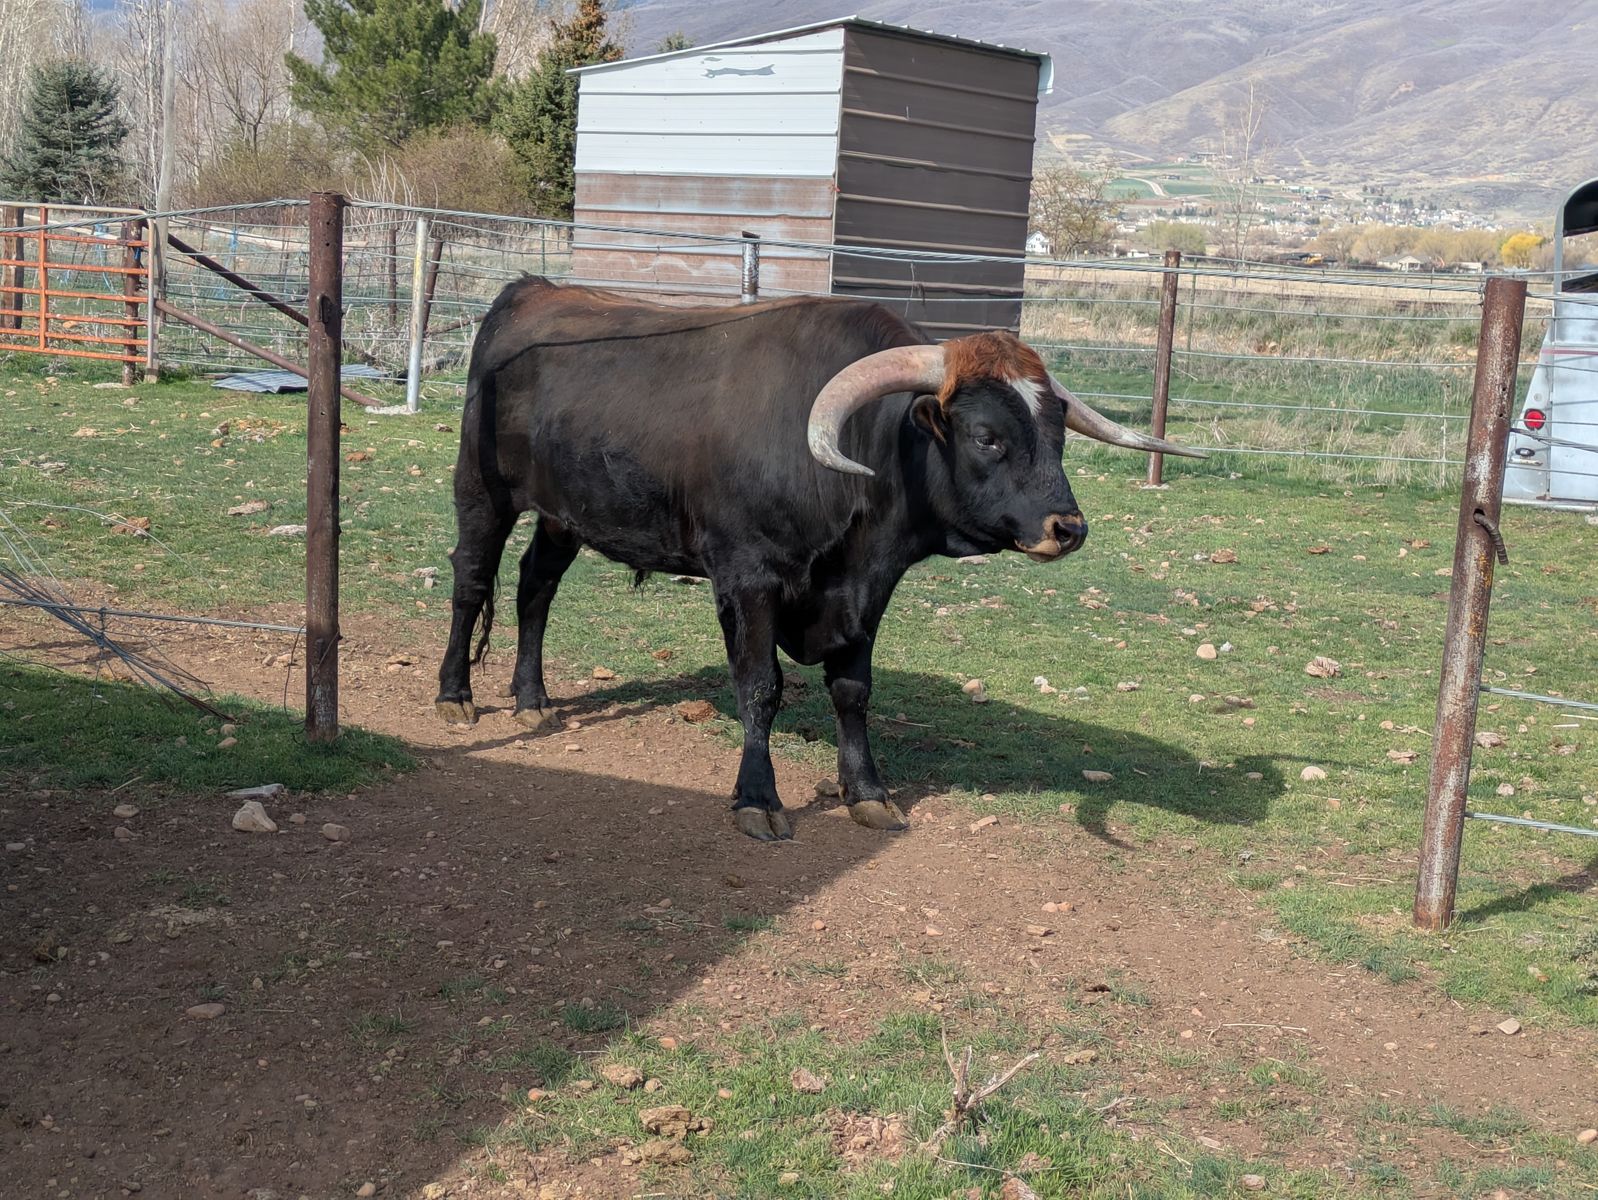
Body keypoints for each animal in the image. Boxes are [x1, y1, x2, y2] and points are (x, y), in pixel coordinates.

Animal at [435, 277, 1199, 840]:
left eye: (1056, 434)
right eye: (987, 436)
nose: (1067, 528)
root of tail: (532, 290)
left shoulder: (864, 591)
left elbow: (853, 691)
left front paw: (867, 791)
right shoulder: (748, 579)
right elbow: (760, 688)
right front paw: (757, 799)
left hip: (564, 514)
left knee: (535, 587)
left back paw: (531, 699)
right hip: (483, 491)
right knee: (472, 581)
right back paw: (455, 696)